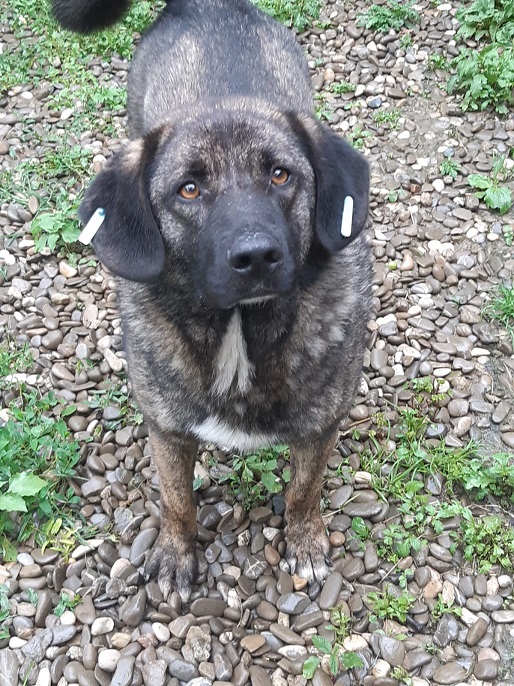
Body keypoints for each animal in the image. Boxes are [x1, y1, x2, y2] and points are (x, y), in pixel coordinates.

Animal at [51, 0, 373, 600]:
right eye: (189, 189)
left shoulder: (320, 427)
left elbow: (305, 490)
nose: (257, 256)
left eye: (281, 174)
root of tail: (203, 3)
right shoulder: (167, 431)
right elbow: (177, 501)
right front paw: (177, 553)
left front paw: (305, 540)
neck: (239, 331)